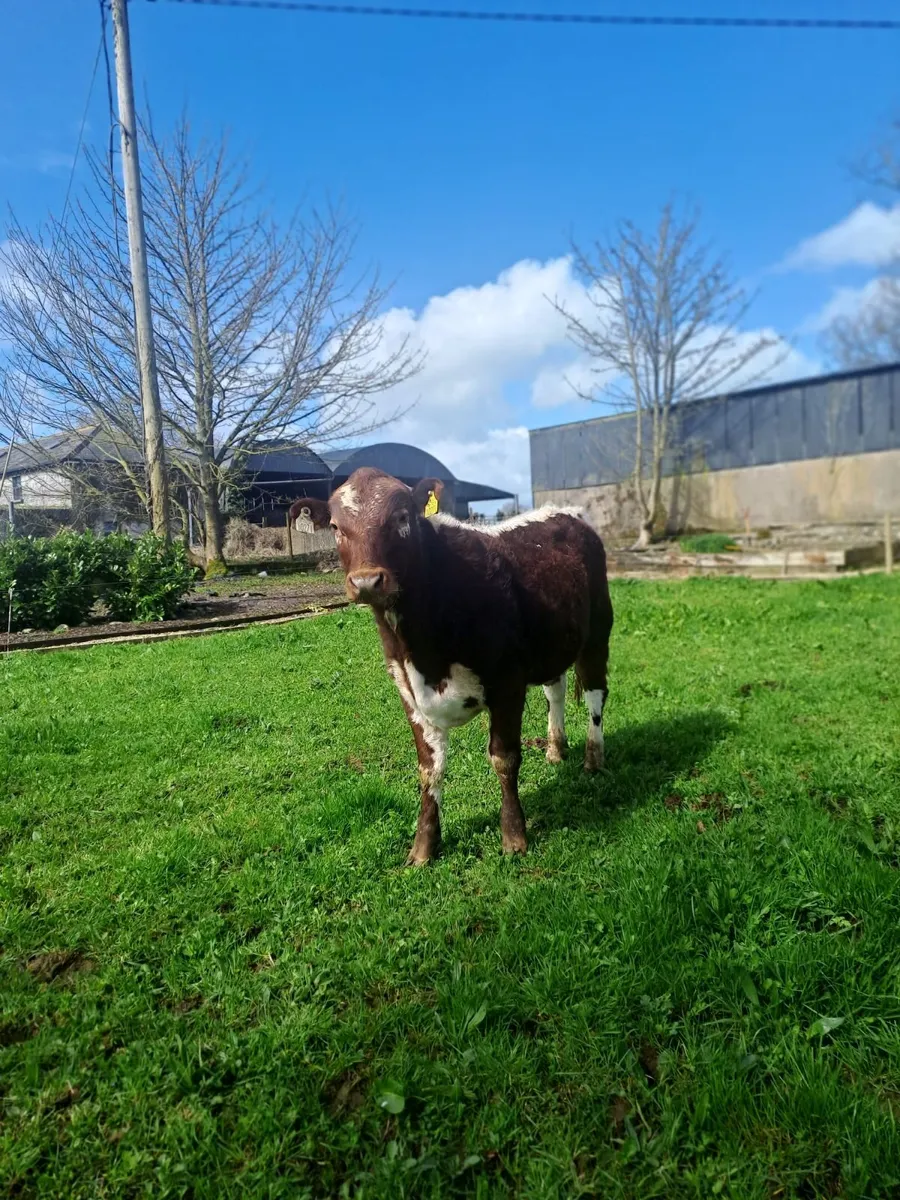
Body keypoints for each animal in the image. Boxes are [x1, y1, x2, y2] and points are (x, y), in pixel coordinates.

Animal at [290, 467, 613, 865]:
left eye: (402, 517)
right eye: (335, 526)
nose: (366, 581)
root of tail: (565, 512)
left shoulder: (508, 682)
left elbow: (504, 758)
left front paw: (514, 837)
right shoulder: (409, 692)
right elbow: (429, 769)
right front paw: (423, 847)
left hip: (598, 629)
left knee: (596, 694)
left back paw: (593, 758)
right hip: (554, 640)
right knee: (556, 690)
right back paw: (555, 748)